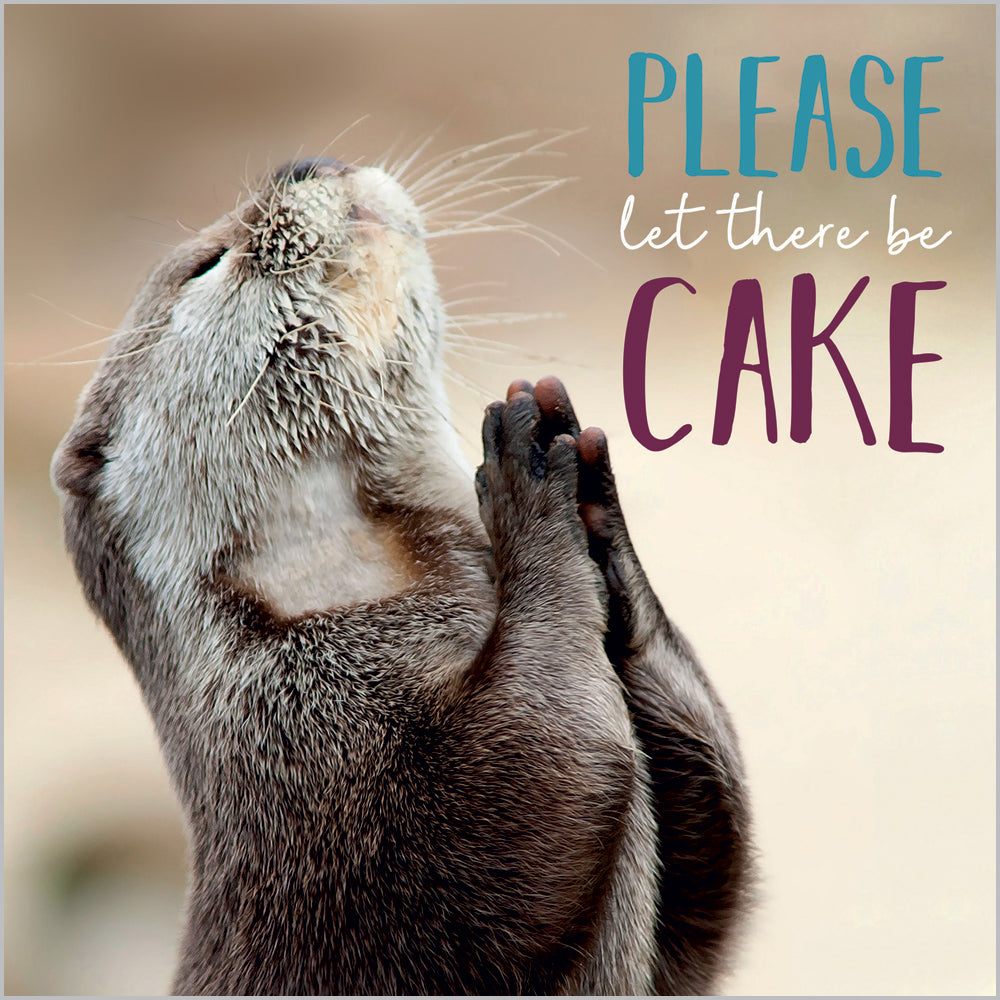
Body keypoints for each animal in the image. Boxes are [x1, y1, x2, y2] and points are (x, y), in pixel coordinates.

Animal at [52, 155, 752, 995]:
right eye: (206, 264)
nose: (303, 162)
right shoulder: (324, 752)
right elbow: (530, 777)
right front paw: (527, 493)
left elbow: (706, 895)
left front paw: (595, 510)